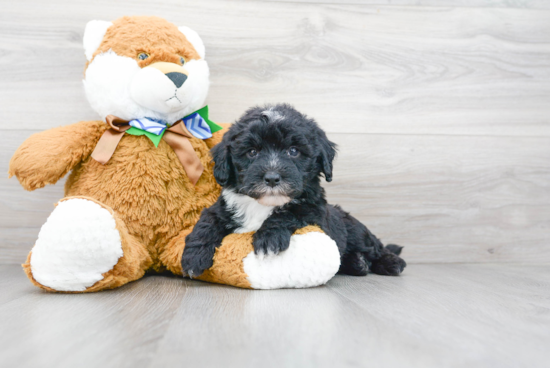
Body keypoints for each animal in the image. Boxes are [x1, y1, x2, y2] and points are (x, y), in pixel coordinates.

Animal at [183, 103, 408, 276]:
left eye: (293, 151)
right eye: (252, 152)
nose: (272, 177)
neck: (263, 205)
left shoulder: (313, 211)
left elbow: (287, 213)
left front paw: (268, 240)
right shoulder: (223, 208)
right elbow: (207, 221)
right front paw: (193, 257)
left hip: (355, 230)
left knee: (376, 247)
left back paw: (391, 263)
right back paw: (357, 263)